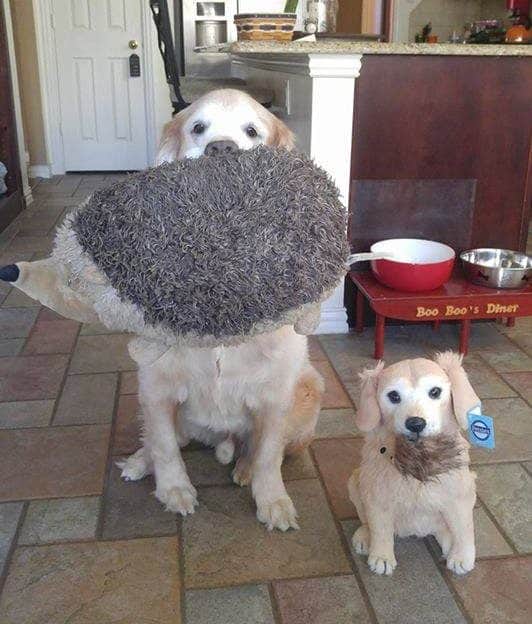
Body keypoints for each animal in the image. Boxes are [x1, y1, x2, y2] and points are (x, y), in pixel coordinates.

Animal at [118, 90, 322, 532]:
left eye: (252, 131)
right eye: (198, 128)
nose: (222, 149)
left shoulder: (275, 394)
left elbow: (269, 454)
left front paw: (273, 502)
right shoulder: (155, 386)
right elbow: (164, 445)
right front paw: (174, 491)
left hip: (310, 387)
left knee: (264, 447)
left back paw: (243, 468)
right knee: (165, 440)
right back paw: (139, 463)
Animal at [350, 352, 478, 576]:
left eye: (435, 392)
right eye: (394, 396)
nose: (416, 424)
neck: (418, 456)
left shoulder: (459, 493)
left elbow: (464, 527)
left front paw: (463, 556)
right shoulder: (377, 495)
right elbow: (380, 528)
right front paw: (382, 556)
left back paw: (448, 540)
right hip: (356, 481)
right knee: (367, 521)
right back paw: (365, 537)